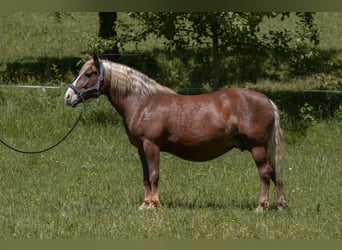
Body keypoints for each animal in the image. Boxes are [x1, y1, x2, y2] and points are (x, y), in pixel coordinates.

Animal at [64, 54, 286, 211]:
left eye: (89, 74)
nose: (68, 97)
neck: (143, 102)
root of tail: (267, 101)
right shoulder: (141, 149)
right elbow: (146, 176)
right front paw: (145, 204)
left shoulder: (151, 145)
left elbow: (154, 175)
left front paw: (154, 204)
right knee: (275, 173)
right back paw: (281, 205)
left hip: (257, 147)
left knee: (265, 173)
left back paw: (261, 206)